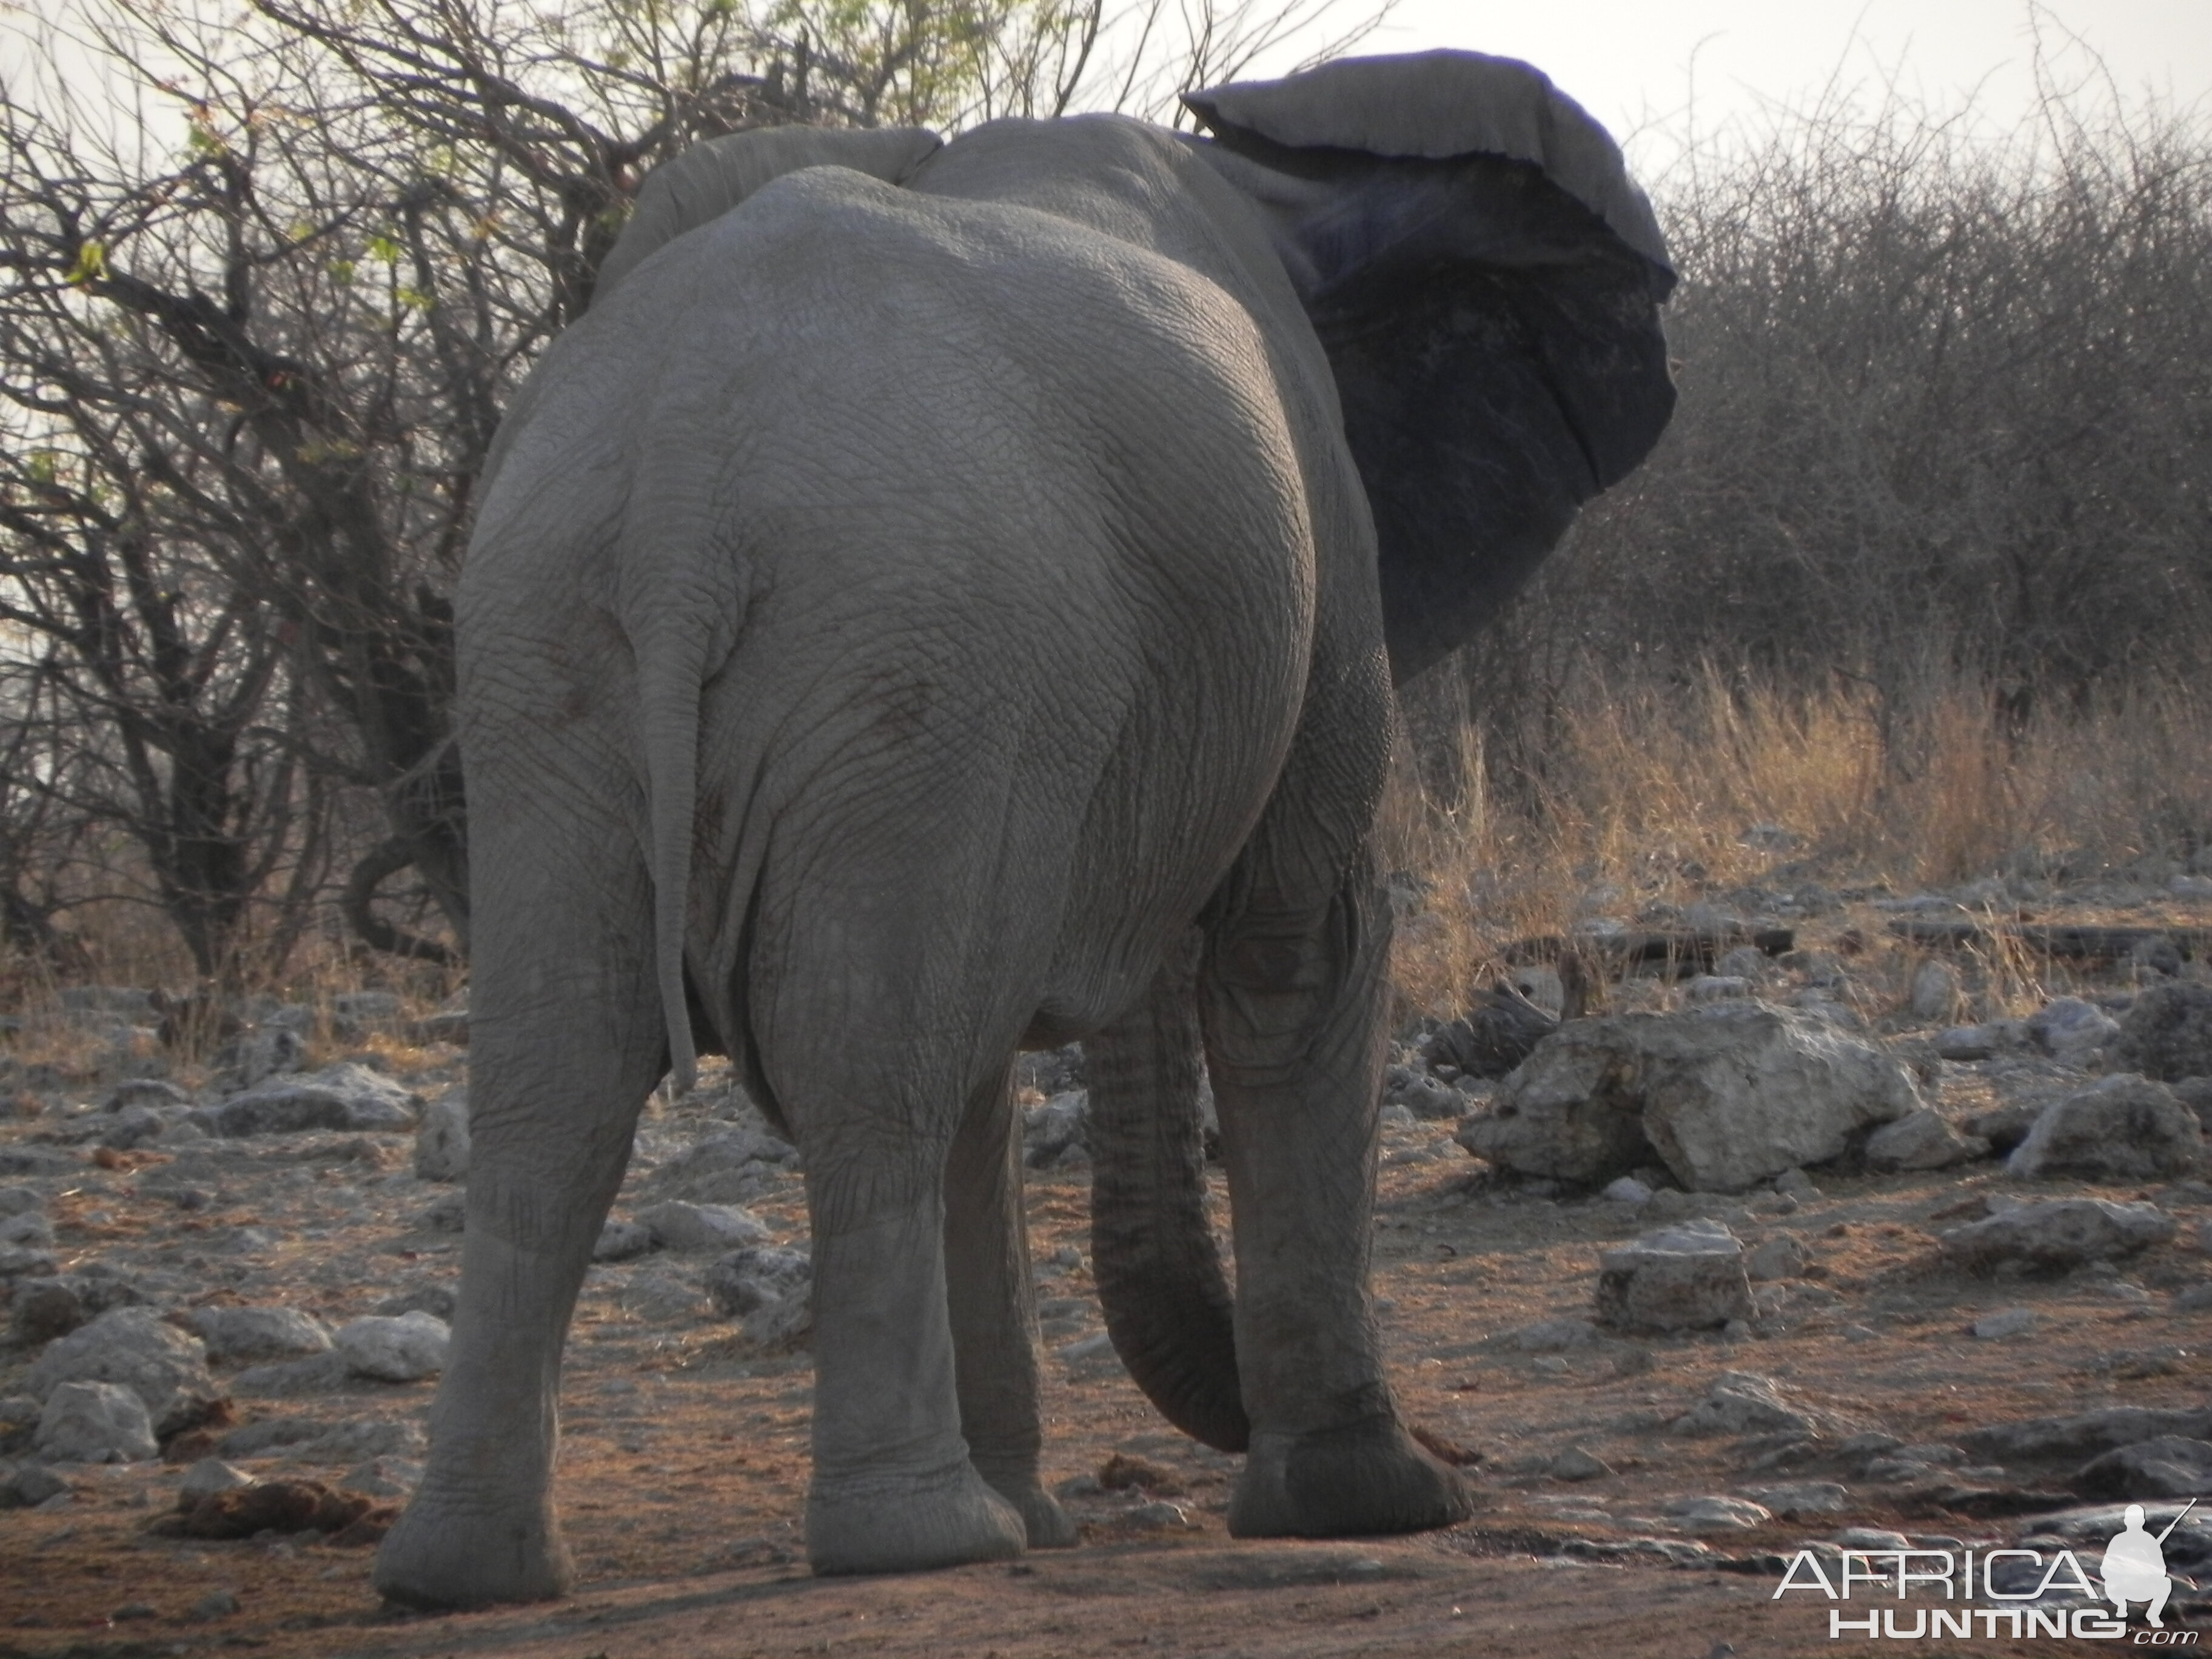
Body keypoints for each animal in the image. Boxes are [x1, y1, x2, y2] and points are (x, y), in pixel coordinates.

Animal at [371, 49, 1663, 1610]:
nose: (1460, 1449)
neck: (1285, 185)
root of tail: (687, 476)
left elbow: (986, 1062)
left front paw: (1059, 1508)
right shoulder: (1315, 565)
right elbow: (1300, 946)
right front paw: (1383, 1499)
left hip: (547, 652)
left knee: (568, 1085)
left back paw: (468, 1572)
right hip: (915, 634)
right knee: (872, 1073)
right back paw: (921, 1537)